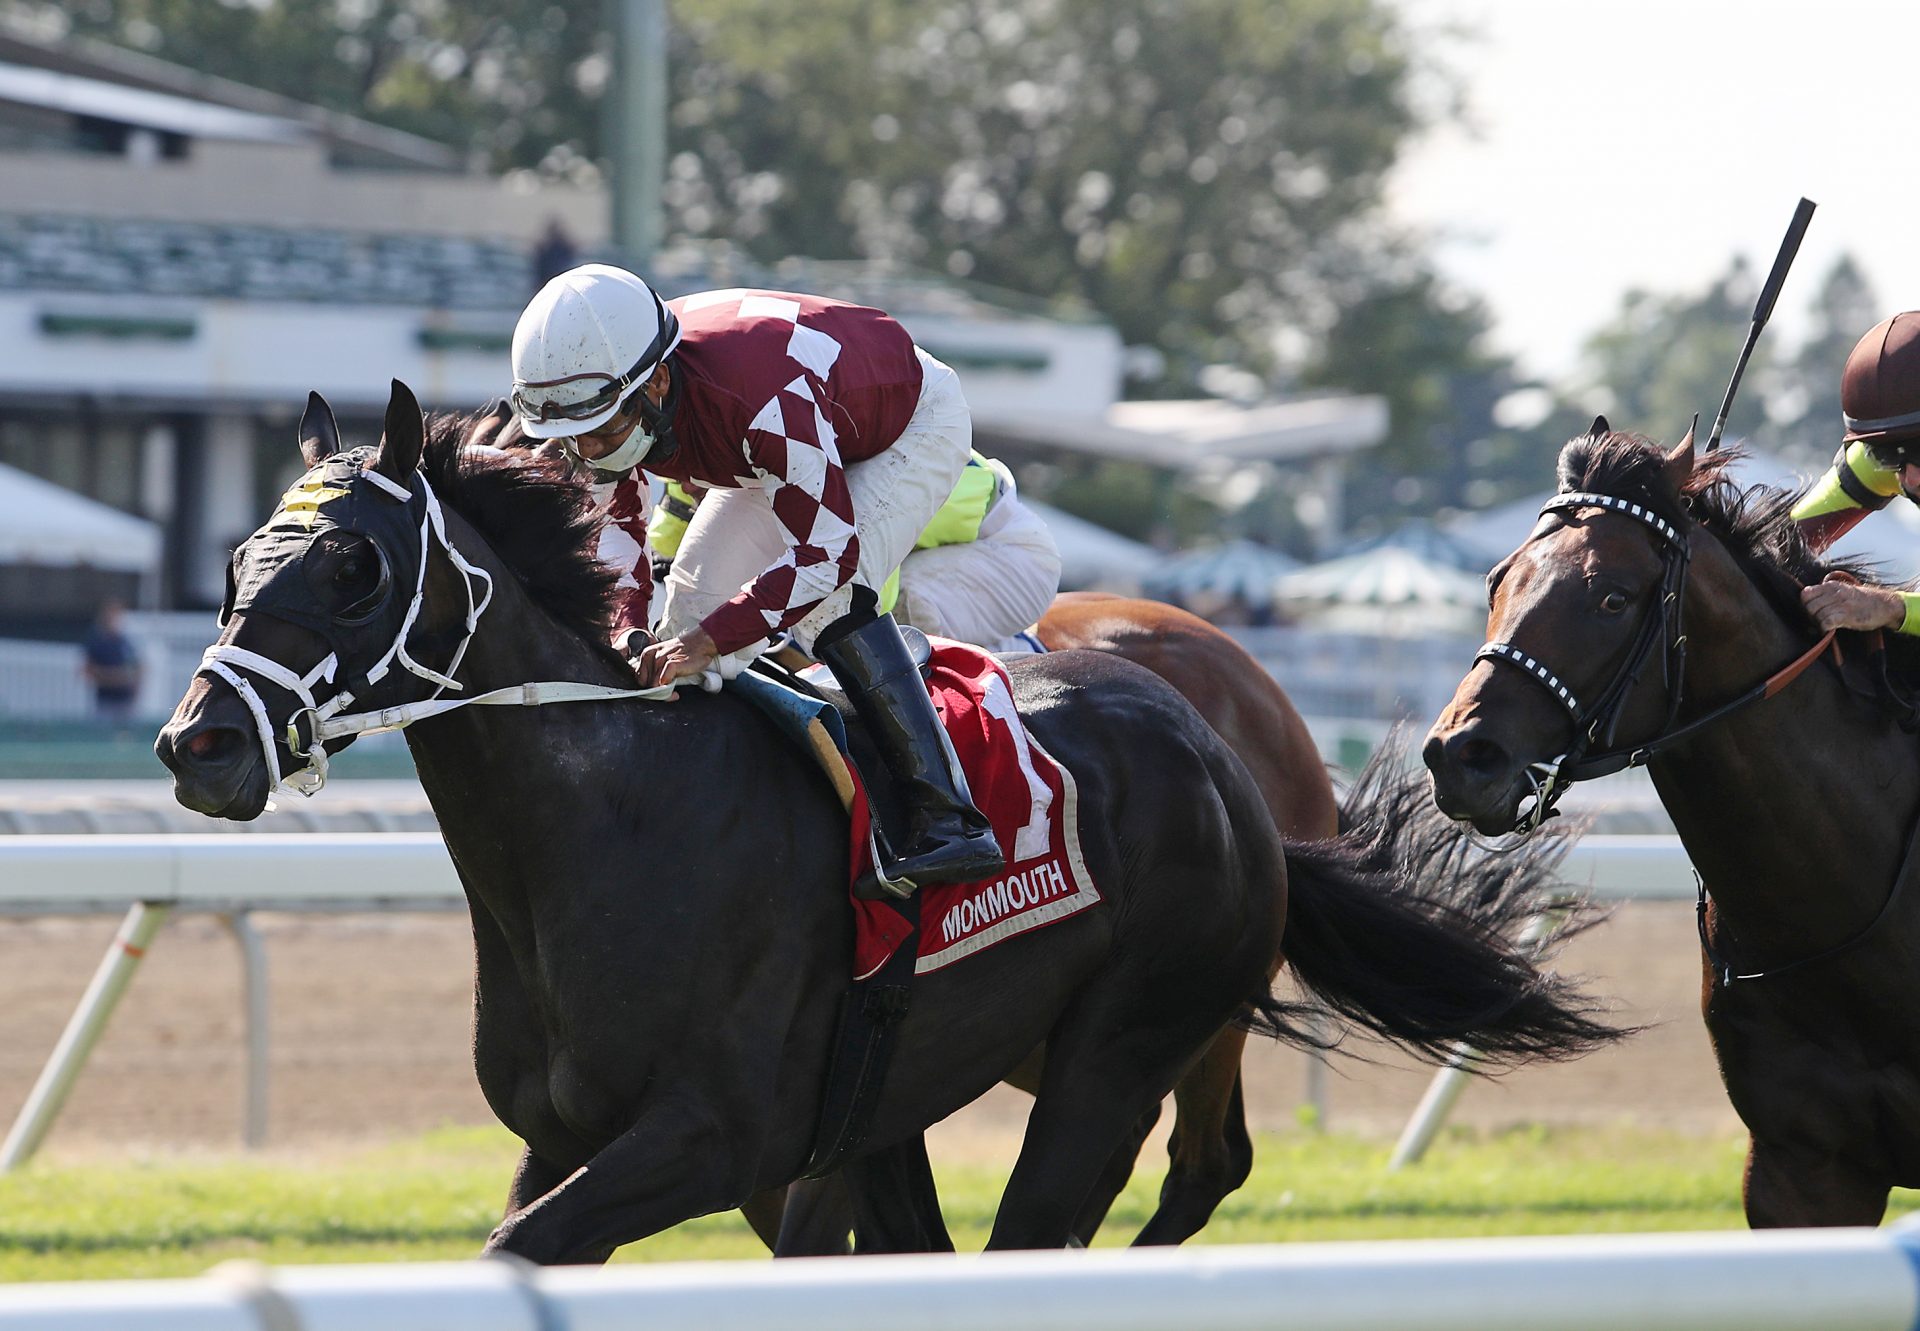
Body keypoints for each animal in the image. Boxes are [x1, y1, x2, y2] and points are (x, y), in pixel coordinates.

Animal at [161, 382, 1620, 1259]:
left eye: (353, 564)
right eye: (234, 561)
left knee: (1131, 1188)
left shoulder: (715, 1137)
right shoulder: (602, 1139)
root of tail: (1225, 764)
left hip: (1116, 1056)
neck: (619, 828)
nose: (198, 742)